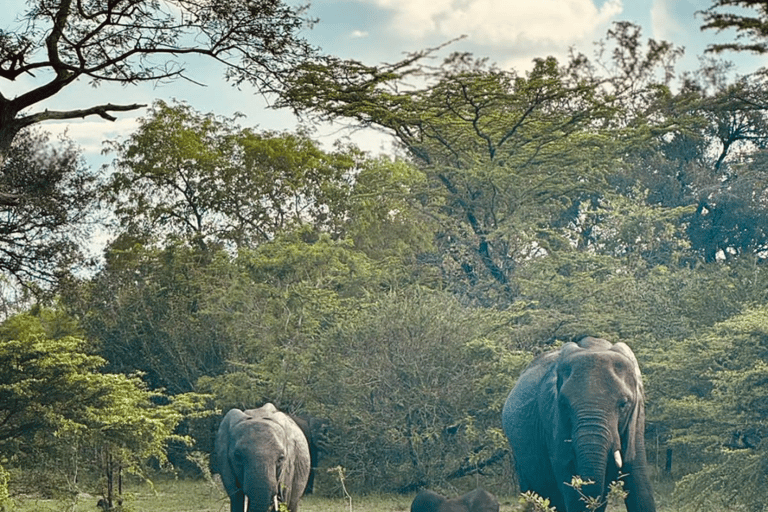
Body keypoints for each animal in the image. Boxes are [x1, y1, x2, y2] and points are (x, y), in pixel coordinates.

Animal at [500, 336, 656, 512]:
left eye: (623, 404)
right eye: (564, 404)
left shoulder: (636, 420)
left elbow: (639, 481)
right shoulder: (553, 418)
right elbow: (569, 482)